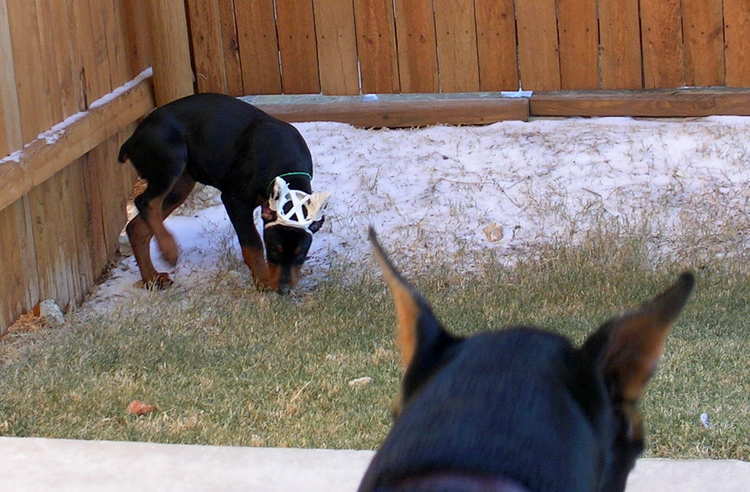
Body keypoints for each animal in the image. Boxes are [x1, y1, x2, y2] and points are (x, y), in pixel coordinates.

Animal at [118, 93, 328, 292]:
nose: (283, 289)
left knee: (137, 227)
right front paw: (262, 280)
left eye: (301, 255)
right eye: (273, 250)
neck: (284, 163)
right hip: (171, 160)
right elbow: (252, 243)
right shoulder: (234, 201)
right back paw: (169, 250)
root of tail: (131, 139)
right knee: (145, 201)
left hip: (181, 184)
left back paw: (152, 278)